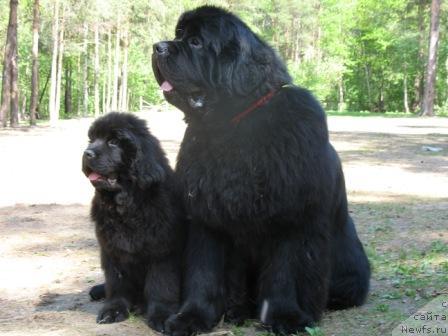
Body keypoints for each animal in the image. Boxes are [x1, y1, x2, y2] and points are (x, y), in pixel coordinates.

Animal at [82, 112, 184, 330]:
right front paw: (113, 310)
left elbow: (161, 286)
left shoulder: (163, 252)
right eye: (91, 140)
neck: (127, 205)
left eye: (113, 141)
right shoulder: (112, 251)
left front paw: (161, 314)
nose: (87, 153)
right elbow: (117, 284)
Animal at [152, 5, 370, 336]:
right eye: (178, 35)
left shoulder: (292, 217)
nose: (157, 46)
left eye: (196, 42)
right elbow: (203, 273)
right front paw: (191, 317)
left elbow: (286, 273)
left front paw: (286, 317)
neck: (235, 126)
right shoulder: (206, 215)